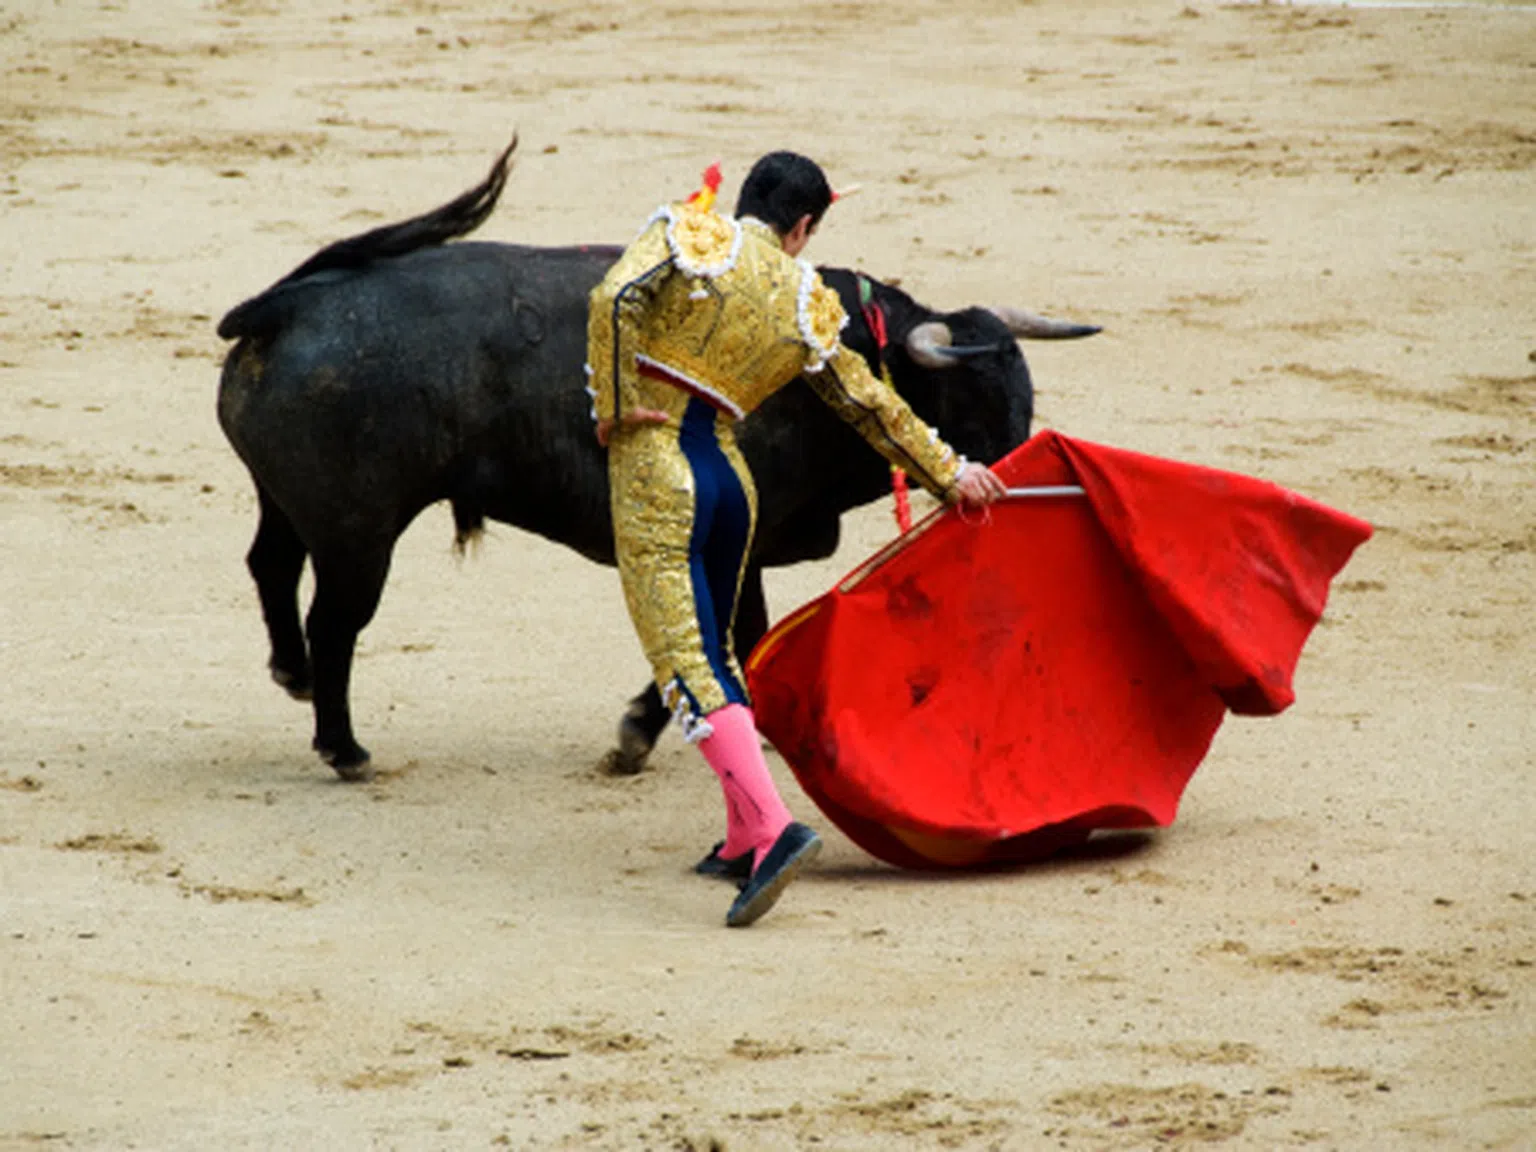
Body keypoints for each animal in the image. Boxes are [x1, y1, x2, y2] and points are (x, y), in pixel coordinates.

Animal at [219, 139, 1105, 780]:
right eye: (973, 408)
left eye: (1026, 407)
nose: (1013, 489)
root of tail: (284, 305)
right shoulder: (740, 533)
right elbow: (728, 626)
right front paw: (638, 733)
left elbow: (741, 630)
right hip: (359, 531)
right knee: (336, 618)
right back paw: (345, 748)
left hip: (293, 502)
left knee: (270, 565)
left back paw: (294, 678)